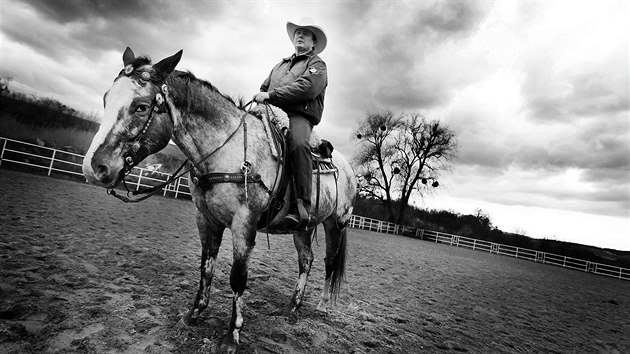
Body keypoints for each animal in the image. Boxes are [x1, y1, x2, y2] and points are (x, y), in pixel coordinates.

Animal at [82, 47, 358, 352]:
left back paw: (322, 305)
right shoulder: (206, 220)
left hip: (336, 223)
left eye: (141, 106)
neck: (228, 149)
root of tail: (347, 167)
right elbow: (206, 267)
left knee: (329, 261)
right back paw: (293, 307)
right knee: (306, 260)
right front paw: (193, 313)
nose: (94, 167)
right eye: (106, 98)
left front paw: (232, 335)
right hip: (304, 227)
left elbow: (237, 278)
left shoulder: (243, 225)